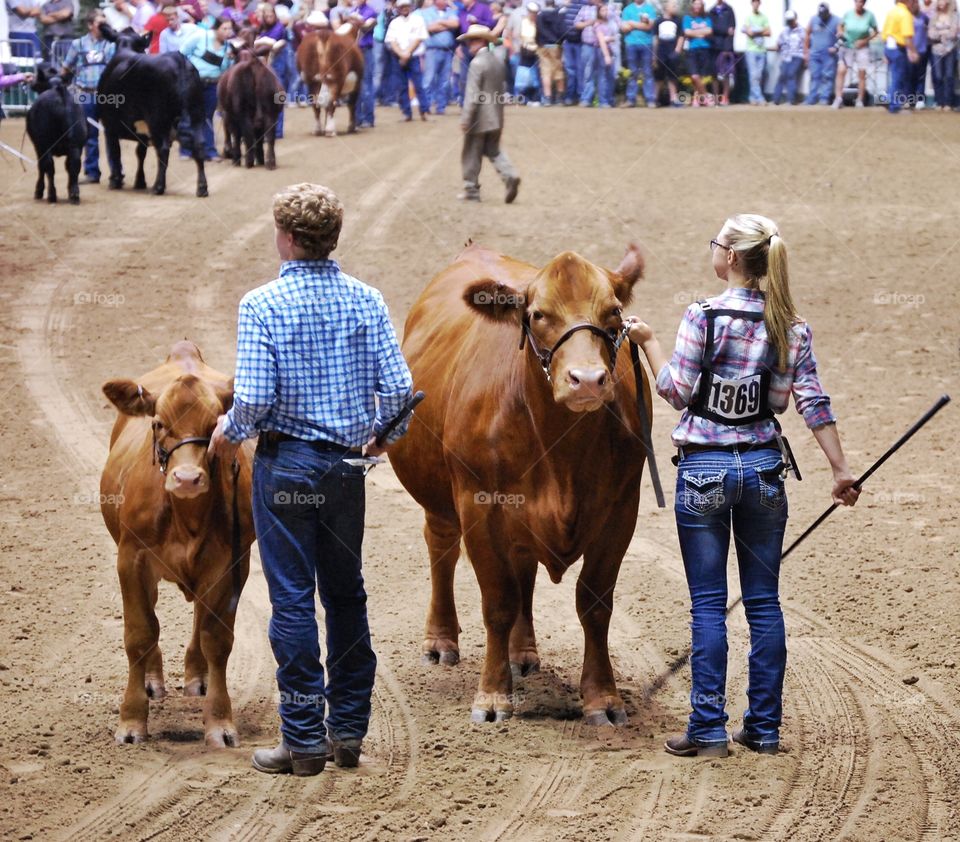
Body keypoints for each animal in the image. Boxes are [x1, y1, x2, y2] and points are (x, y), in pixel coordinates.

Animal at [25, 62, 86, 203]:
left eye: (38, 82)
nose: (31, 82)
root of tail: (59, 91)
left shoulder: (39, 146)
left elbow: (41, 167)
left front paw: (39, 191)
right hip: (76, 145)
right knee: (74, 165)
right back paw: (74, 194)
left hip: (44, 144)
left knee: (48, 166)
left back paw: (51, 195)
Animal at [97, 25, 208, 197]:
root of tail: (178, 59)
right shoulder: (142, 130)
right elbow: (140, 153)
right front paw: (140, 181)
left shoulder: (109, 126)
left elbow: (115, 152)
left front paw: (115, 180)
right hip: (196, 114)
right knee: (199, 145)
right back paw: (202, 188)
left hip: (158, 119)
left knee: (163, 149)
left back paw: (158, 186)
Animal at [100, 338, 255, 744]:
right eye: (158, 423)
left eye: (215, 423)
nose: (187, 478)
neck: (187, 518)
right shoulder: (131, 558)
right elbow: (139, 633)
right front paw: (131, 720)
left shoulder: (232, 561)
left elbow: (217, 638)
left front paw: (219, 722)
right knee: (151, 615)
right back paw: (152, 680)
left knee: (200, 616)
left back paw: (197, 676)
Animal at [390, 241, 652, 720]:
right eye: (538, 314)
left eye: (613, 312)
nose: (588, 380)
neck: (561, 452)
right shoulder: (479, 506)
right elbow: (499, 602)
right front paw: (493, 695)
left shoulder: (622, 511)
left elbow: (594, 605)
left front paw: (602, 697)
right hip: (440, 498)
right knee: (441, 547)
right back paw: (440, 640)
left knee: (524, 567)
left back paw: (523, 651)